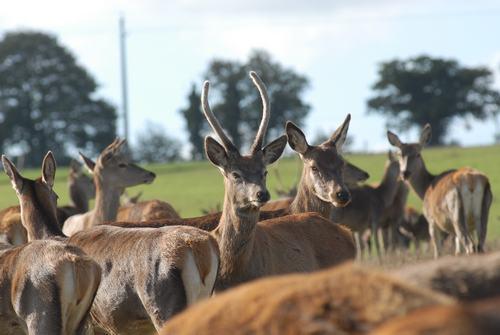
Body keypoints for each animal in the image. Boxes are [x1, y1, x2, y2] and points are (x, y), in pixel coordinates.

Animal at [386, 124, 492, 258]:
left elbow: (438, 252)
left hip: (456, 213)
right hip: (483, 212)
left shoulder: (431, 220)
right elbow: (457, 250)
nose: (405, 173)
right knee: (480, 245)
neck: (426, 188)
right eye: (399, 154)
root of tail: (471, 181)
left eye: (418, 154)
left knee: (470, 245)